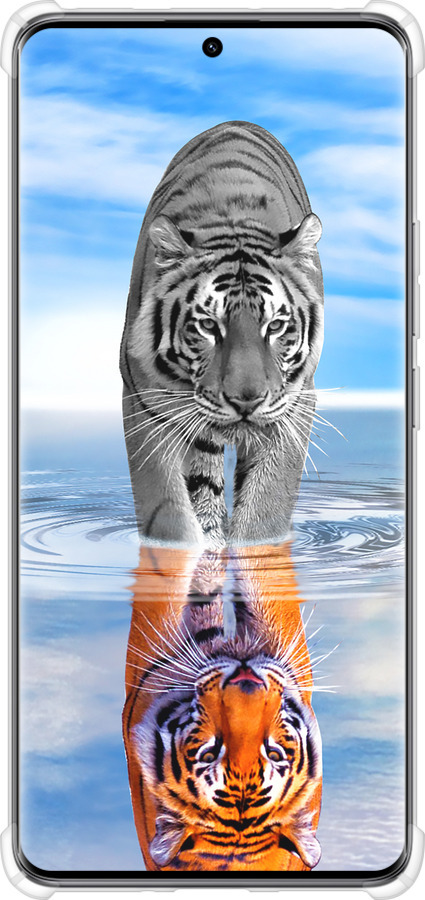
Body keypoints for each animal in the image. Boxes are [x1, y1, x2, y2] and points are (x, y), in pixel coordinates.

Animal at [120, 120, 324, 549]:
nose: (246, 401)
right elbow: (168, 513)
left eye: (275, 326)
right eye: (208, 326)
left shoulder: (295, 404)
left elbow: (265, 510)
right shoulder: (144, 401)